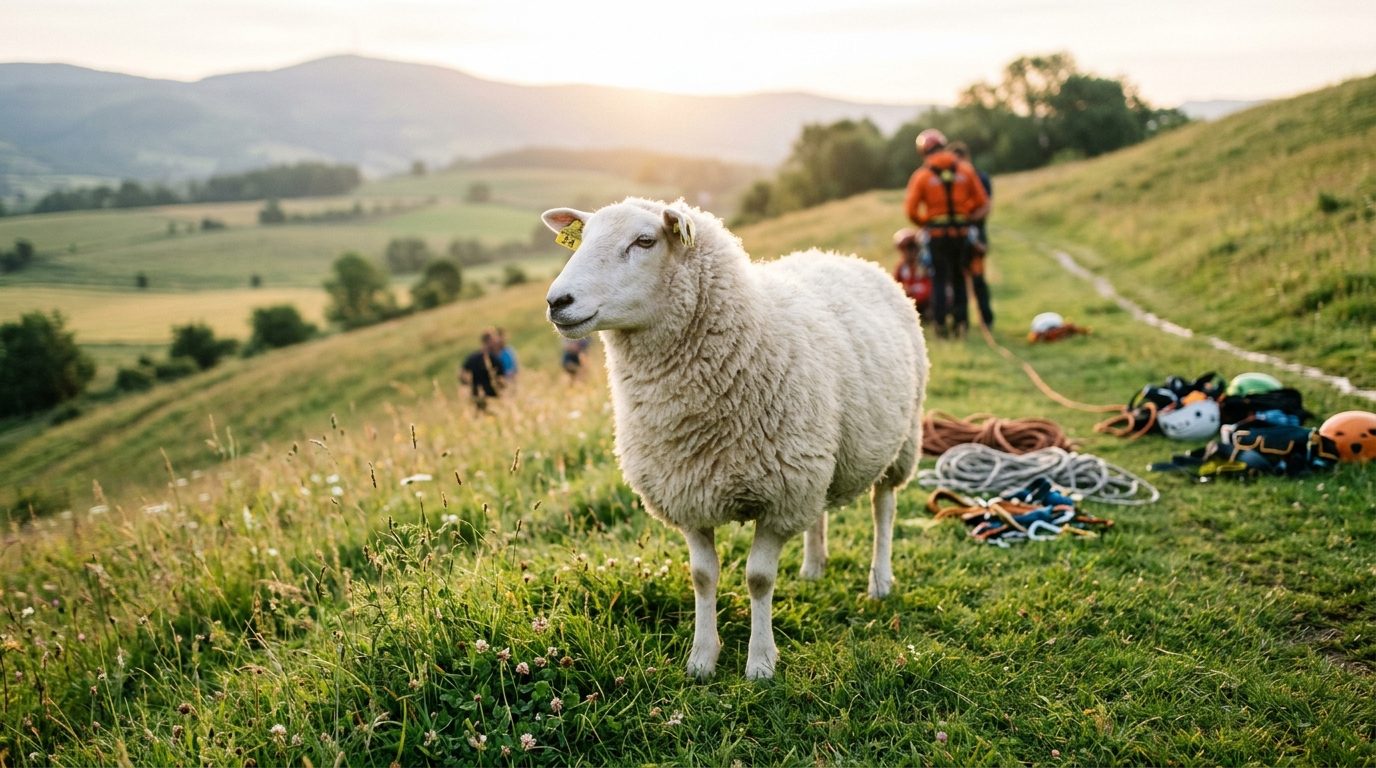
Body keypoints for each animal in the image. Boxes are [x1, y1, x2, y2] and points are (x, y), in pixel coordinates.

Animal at [542, 197, 928, 679]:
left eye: (645, 241)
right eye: (584, 238)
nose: (557, 302)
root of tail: (840, 256)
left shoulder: (780, 497)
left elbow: (758, 579)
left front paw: (760, 662)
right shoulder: (688, 493)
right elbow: (702, 577)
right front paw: (702, 658)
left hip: (901, 441)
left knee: (884, 508)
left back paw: (880, 581)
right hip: (818, 456)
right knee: (820, 511)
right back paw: (813, 566)